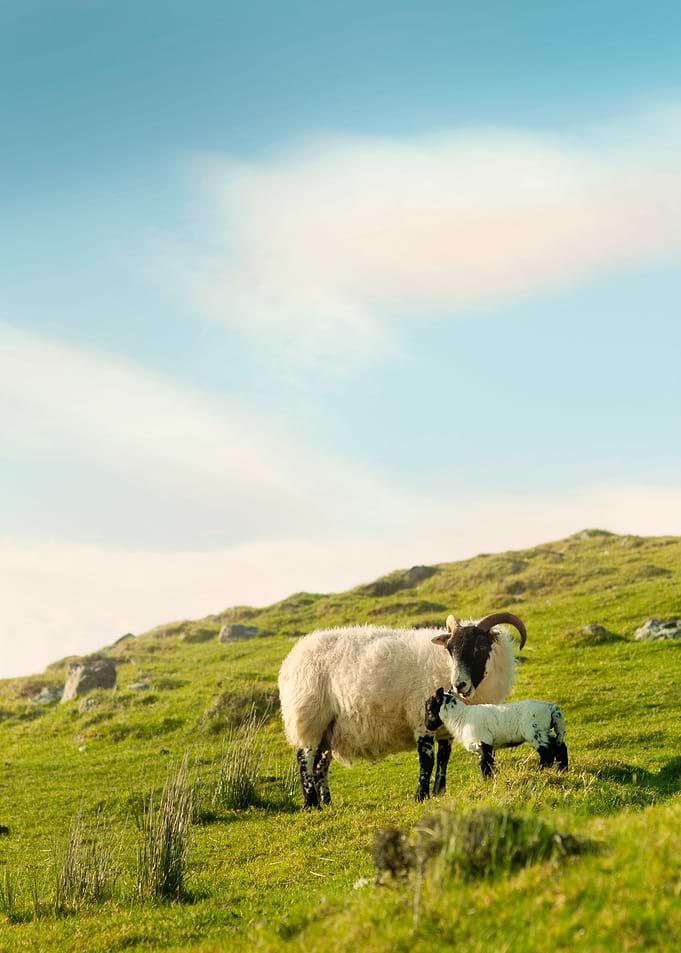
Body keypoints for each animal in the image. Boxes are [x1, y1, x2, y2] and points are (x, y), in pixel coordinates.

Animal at [277, 611, 527, 808]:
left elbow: (443, 759)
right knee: (304, 759)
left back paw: (327, 802)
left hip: (328, 729)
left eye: (481, 647)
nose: (459, 685)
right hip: (309, 718)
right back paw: (311, 805)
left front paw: (439, 791)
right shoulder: (421, 719)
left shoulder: (445, 730)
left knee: (320, 765)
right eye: (450, 649)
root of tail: (291, 658)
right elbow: (427, 760)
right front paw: (421, 796)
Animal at [424, 687, 568, 777]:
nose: (427, 726)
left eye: (429, 709)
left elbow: (484, 765)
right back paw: (562, 769)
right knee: (560, 747)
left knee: (547, 752)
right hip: (544, 731)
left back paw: (542, 770)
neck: (461, 717)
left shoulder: (483, 742)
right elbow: (489, 763)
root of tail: (551, 708)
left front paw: (486, 781)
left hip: (535, 732)